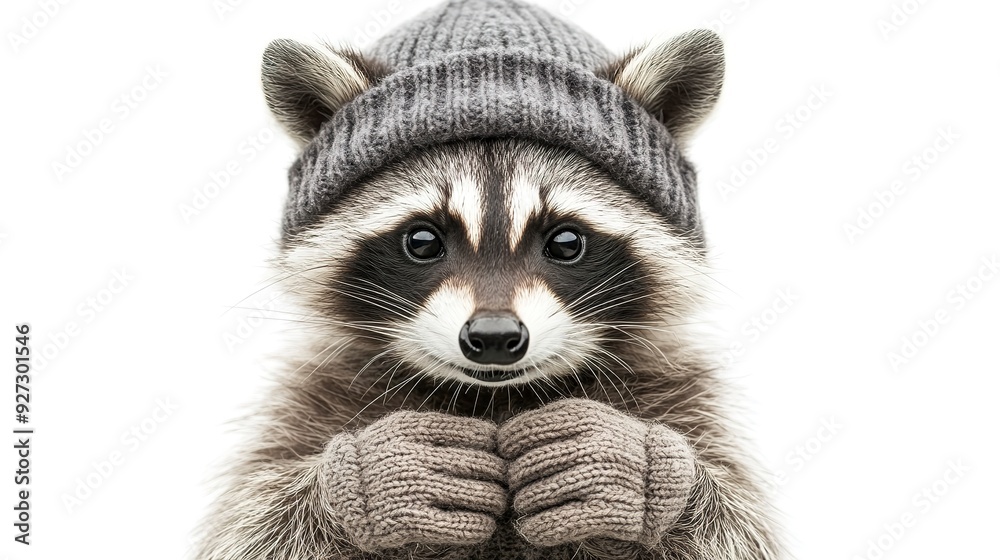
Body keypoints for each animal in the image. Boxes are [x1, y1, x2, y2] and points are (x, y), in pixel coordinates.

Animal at [195, 1, 783, 559]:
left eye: (566, 243)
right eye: (422, 241)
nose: (495, 337)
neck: (495, 399)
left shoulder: (688, 396)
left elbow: (736, 526)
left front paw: (634, 464)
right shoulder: (306, 400)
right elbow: (252, 526)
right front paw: (372, 475)